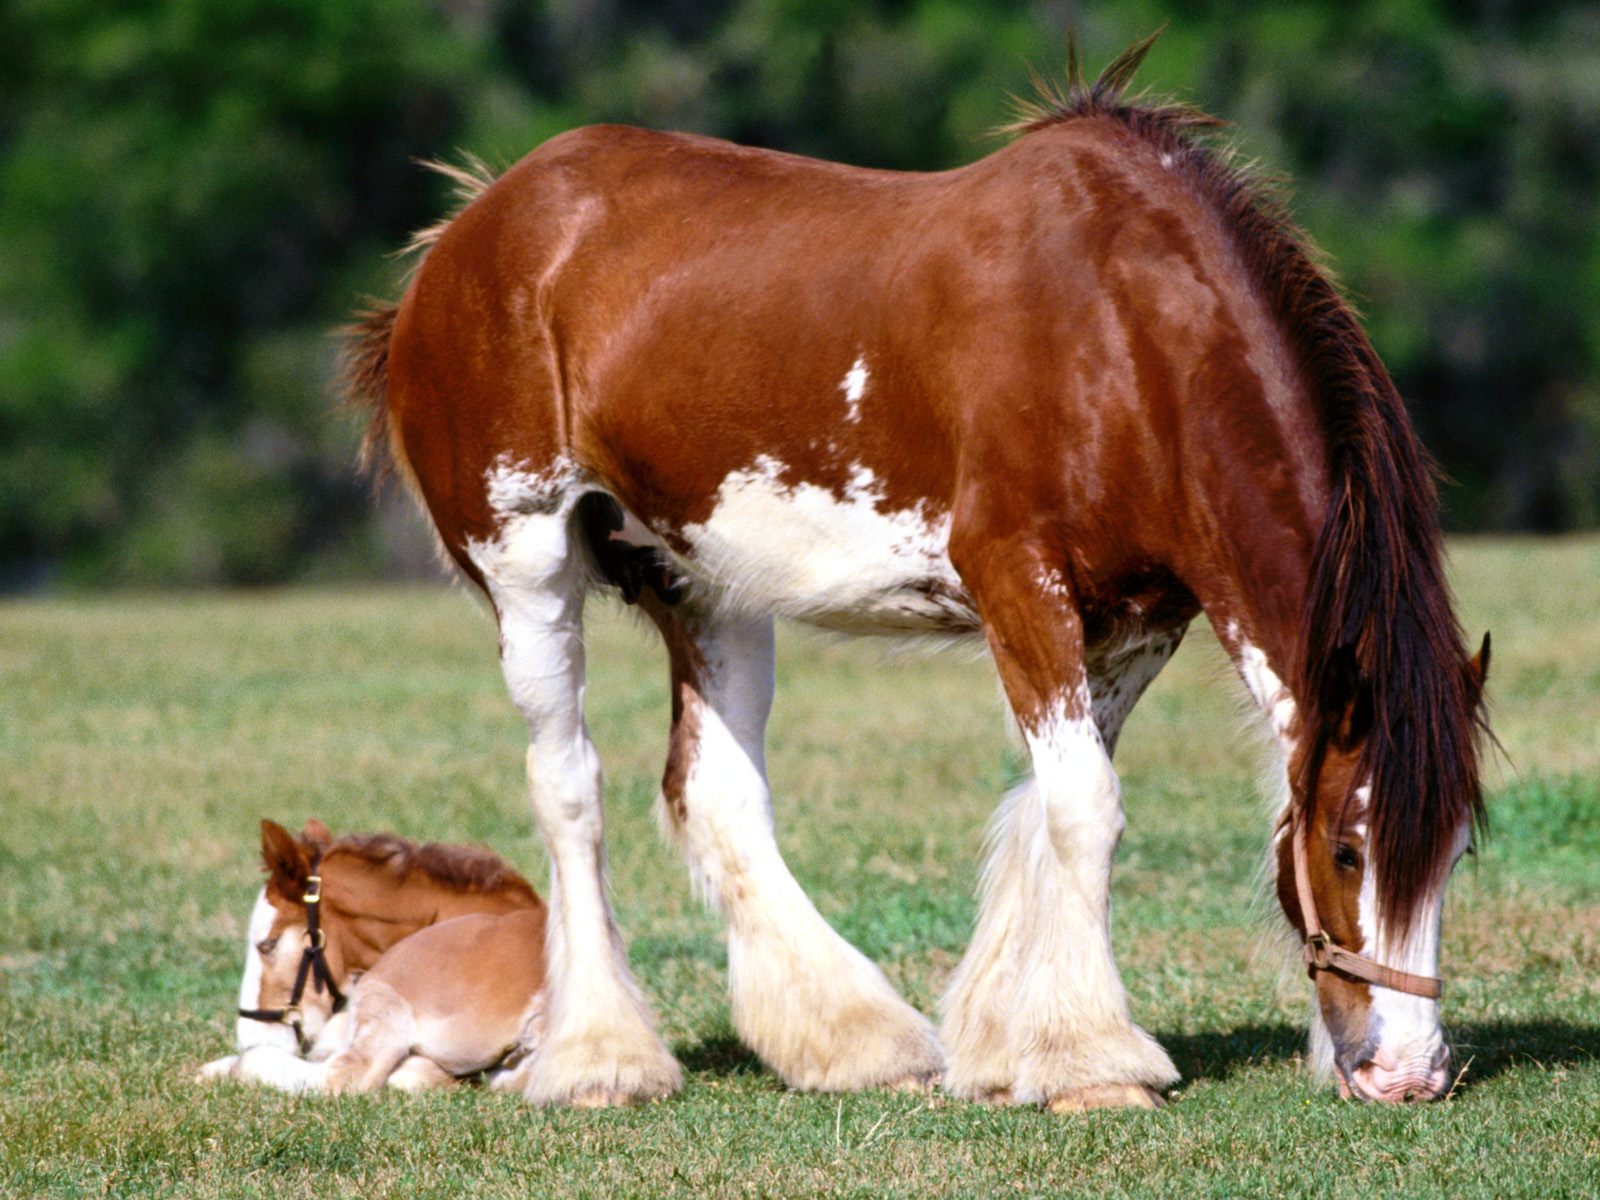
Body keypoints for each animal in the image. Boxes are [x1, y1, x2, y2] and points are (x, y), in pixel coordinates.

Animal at [344, 32, 1491, 1113]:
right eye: (1347, 851)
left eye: (1454, 854)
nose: (1409, 1073)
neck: (1124, 331)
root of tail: (465, 234)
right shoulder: (1017, 579)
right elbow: (1083, 807)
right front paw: (1094, 1063)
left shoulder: (1137, 622)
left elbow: (1046, 807)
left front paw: (1002, 1044)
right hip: (528, 561)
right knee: (568, 784)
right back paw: (600, 1060)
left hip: (707, 585)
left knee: (713, 792)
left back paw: (857, 1041)